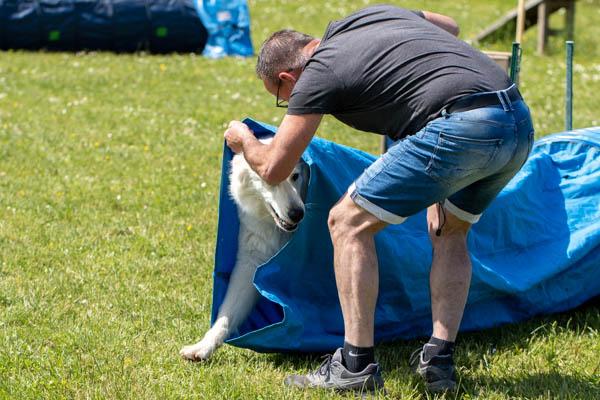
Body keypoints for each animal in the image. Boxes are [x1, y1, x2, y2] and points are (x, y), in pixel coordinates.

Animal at [179, 141, 310, 362]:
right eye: (270, 178)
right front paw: (202, 348)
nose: (297, 214)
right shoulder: (250, 265)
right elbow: (226, 315)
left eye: (295, 176)